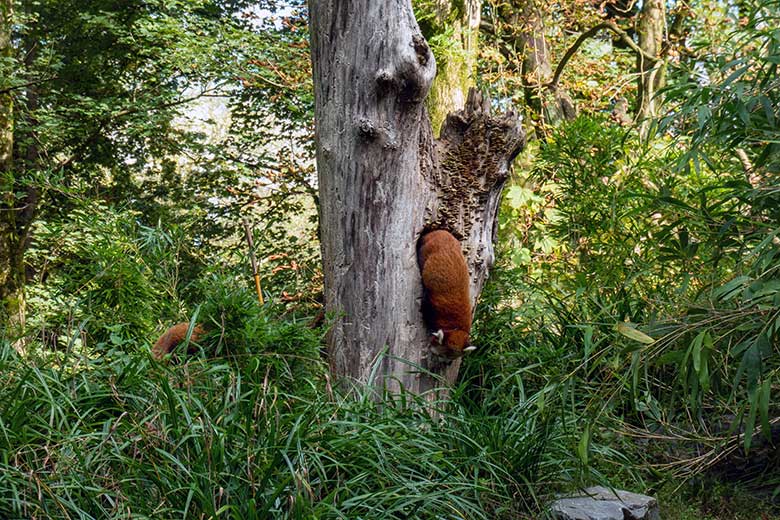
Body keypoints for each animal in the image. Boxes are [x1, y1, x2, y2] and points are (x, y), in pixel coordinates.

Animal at [414, 230, 476, 360]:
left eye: (450, 358)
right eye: (441, 355)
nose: (444, 362)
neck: (455, 327)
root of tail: (439, 232)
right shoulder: (434, 305)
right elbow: (425, 306)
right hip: (426, 249)